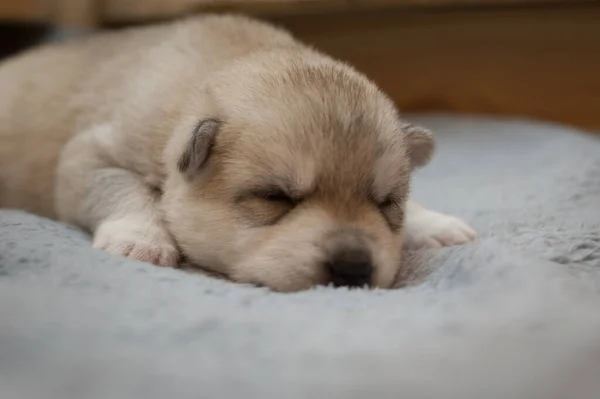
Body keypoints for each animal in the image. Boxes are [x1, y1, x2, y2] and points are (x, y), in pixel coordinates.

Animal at [1, 14, 478, 292]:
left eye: (386, 203)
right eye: (275, 197)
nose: (354, 268)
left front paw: (433, 223)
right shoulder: (92, 154)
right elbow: (125, 190)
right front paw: (142, 240)